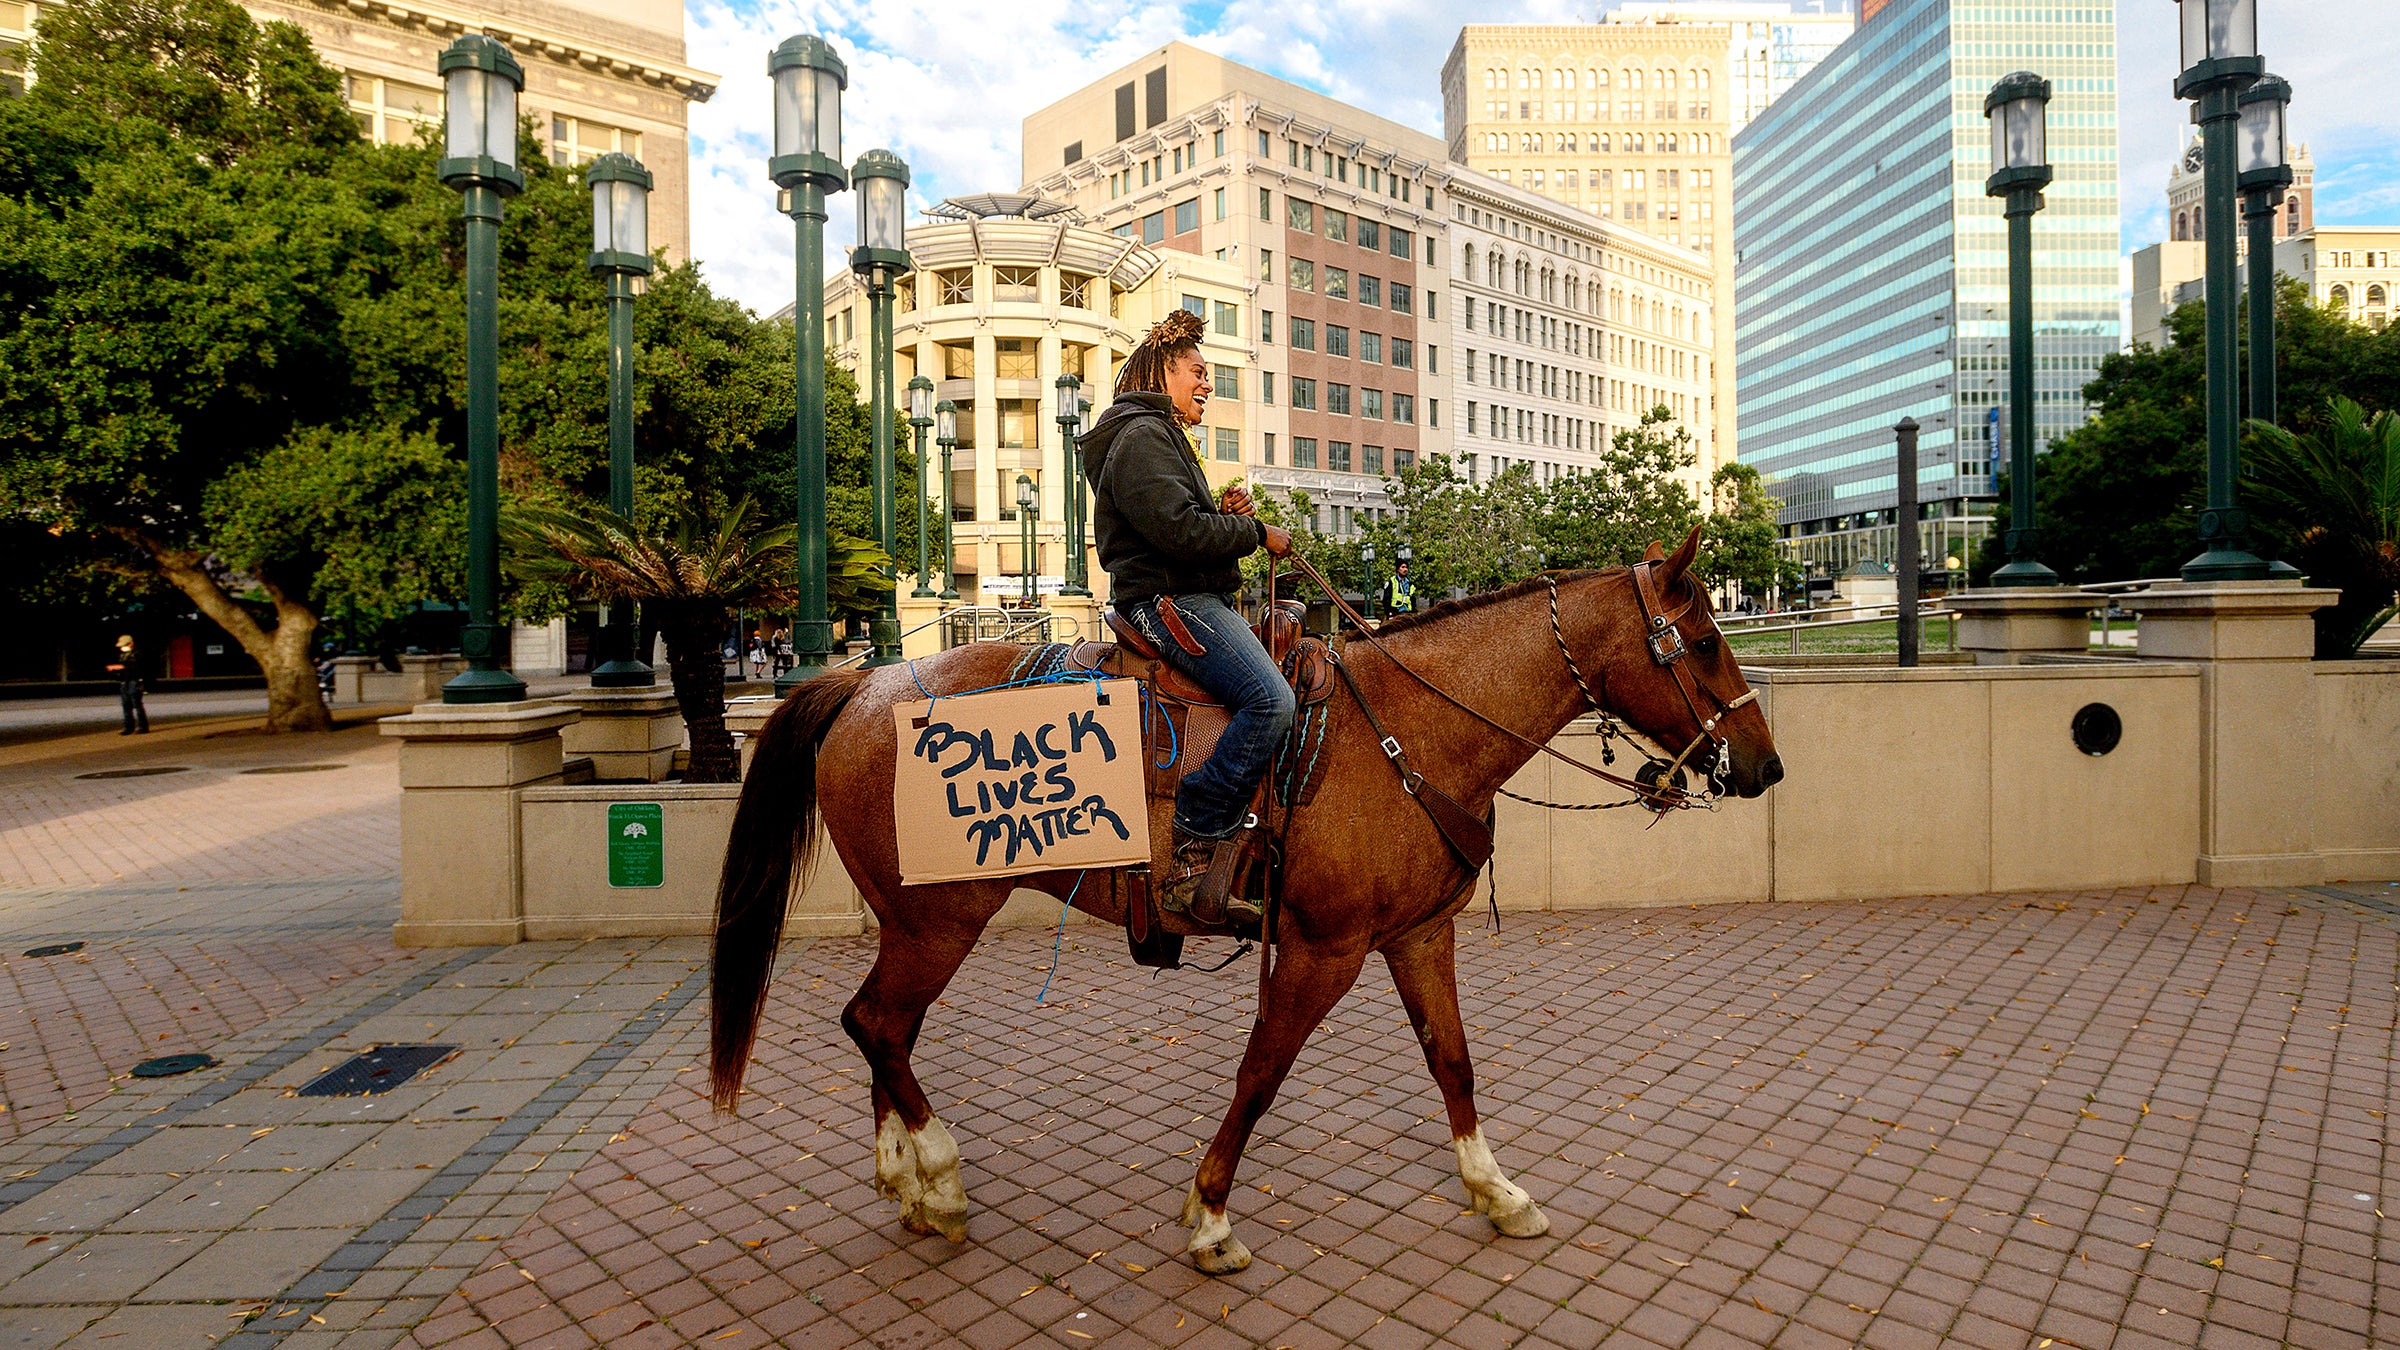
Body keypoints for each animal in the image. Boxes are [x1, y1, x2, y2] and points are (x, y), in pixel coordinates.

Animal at [700, 528, 1776, 1268]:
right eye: (1703, 640)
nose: (1765, 766)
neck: (1410, 730)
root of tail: (866, 682)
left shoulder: (1417, 936)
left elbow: (1454, 1063)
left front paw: (1496, 1190)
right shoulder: (1321, 951)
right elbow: (1260, 1075)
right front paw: (1211, 1215)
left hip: (916, 917)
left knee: (884, 1028)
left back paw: (908, 1180)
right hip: (943, 916)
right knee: (877, 1021)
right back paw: (940, 1175)